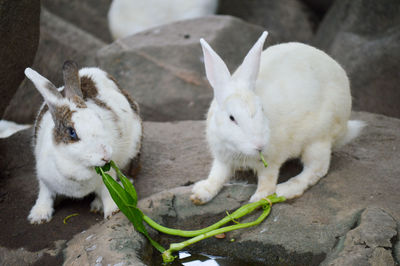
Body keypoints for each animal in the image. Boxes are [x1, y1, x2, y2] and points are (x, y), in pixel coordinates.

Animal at [24, 60, 141, 224]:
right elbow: (45, 195)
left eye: (99, 119)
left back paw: (98, 204)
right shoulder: (44, 178)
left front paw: (113, 211)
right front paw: (38, 216)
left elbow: (108, 193)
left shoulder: (107, 177)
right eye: (72, 133)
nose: (106, 155)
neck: (77, 167)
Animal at [191, 32, 366, 205]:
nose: (260, 145)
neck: (240, 151)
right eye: (232, 118)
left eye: (262, 109)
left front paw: (259, 198)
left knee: (317, 169)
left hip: (318, 139)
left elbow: (267, 180)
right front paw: (199, 194)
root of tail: (345, 128)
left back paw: (286, 190)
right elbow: (216, 176)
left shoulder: (271, 161)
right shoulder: (222, 159)